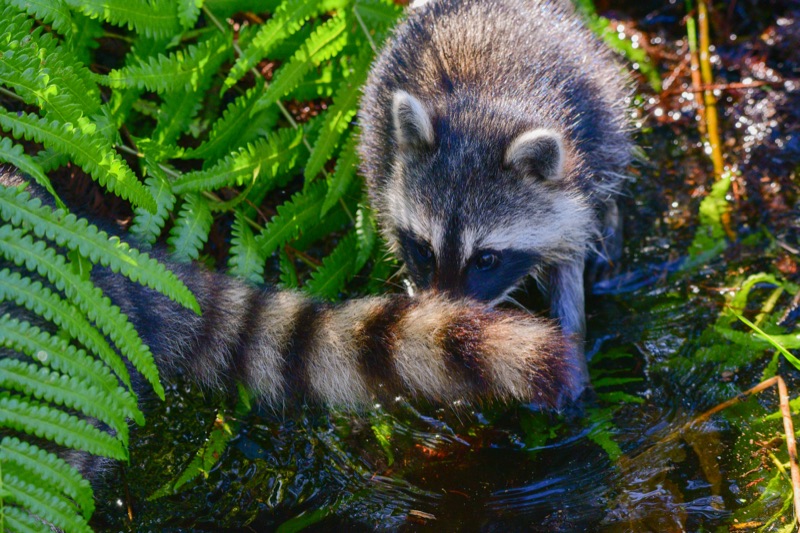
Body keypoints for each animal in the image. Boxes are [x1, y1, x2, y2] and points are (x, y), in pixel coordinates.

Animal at [359, 0, 633, 395]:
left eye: (486, 259)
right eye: (424, 250)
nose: (449, 325)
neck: (484, 110)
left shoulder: (574, 181)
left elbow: (568, 262)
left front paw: (572, 345)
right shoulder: (382, 162)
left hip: (603, 96)